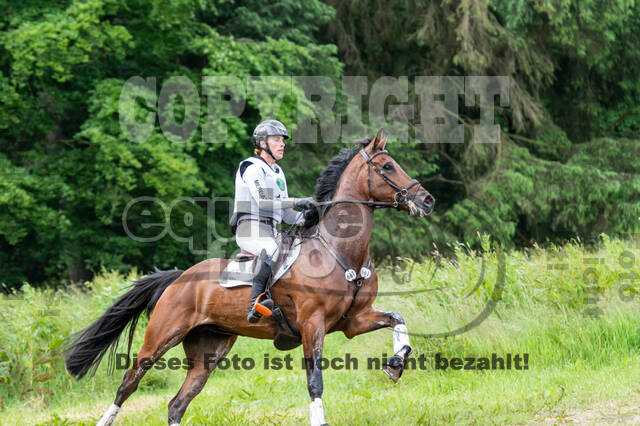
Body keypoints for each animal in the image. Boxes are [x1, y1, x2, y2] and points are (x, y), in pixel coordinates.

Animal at [65, 130, 435, 425]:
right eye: (386, 167)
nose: (427, 199)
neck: (339, 250)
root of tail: (178, 278)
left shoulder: (352, 322)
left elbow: (397, 319)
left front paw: (395, 363)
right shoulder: (312, 324)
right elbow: (315, 382)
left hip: (209, 350)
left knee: (177, 403)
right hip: (160, 337)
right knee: (129, 383)